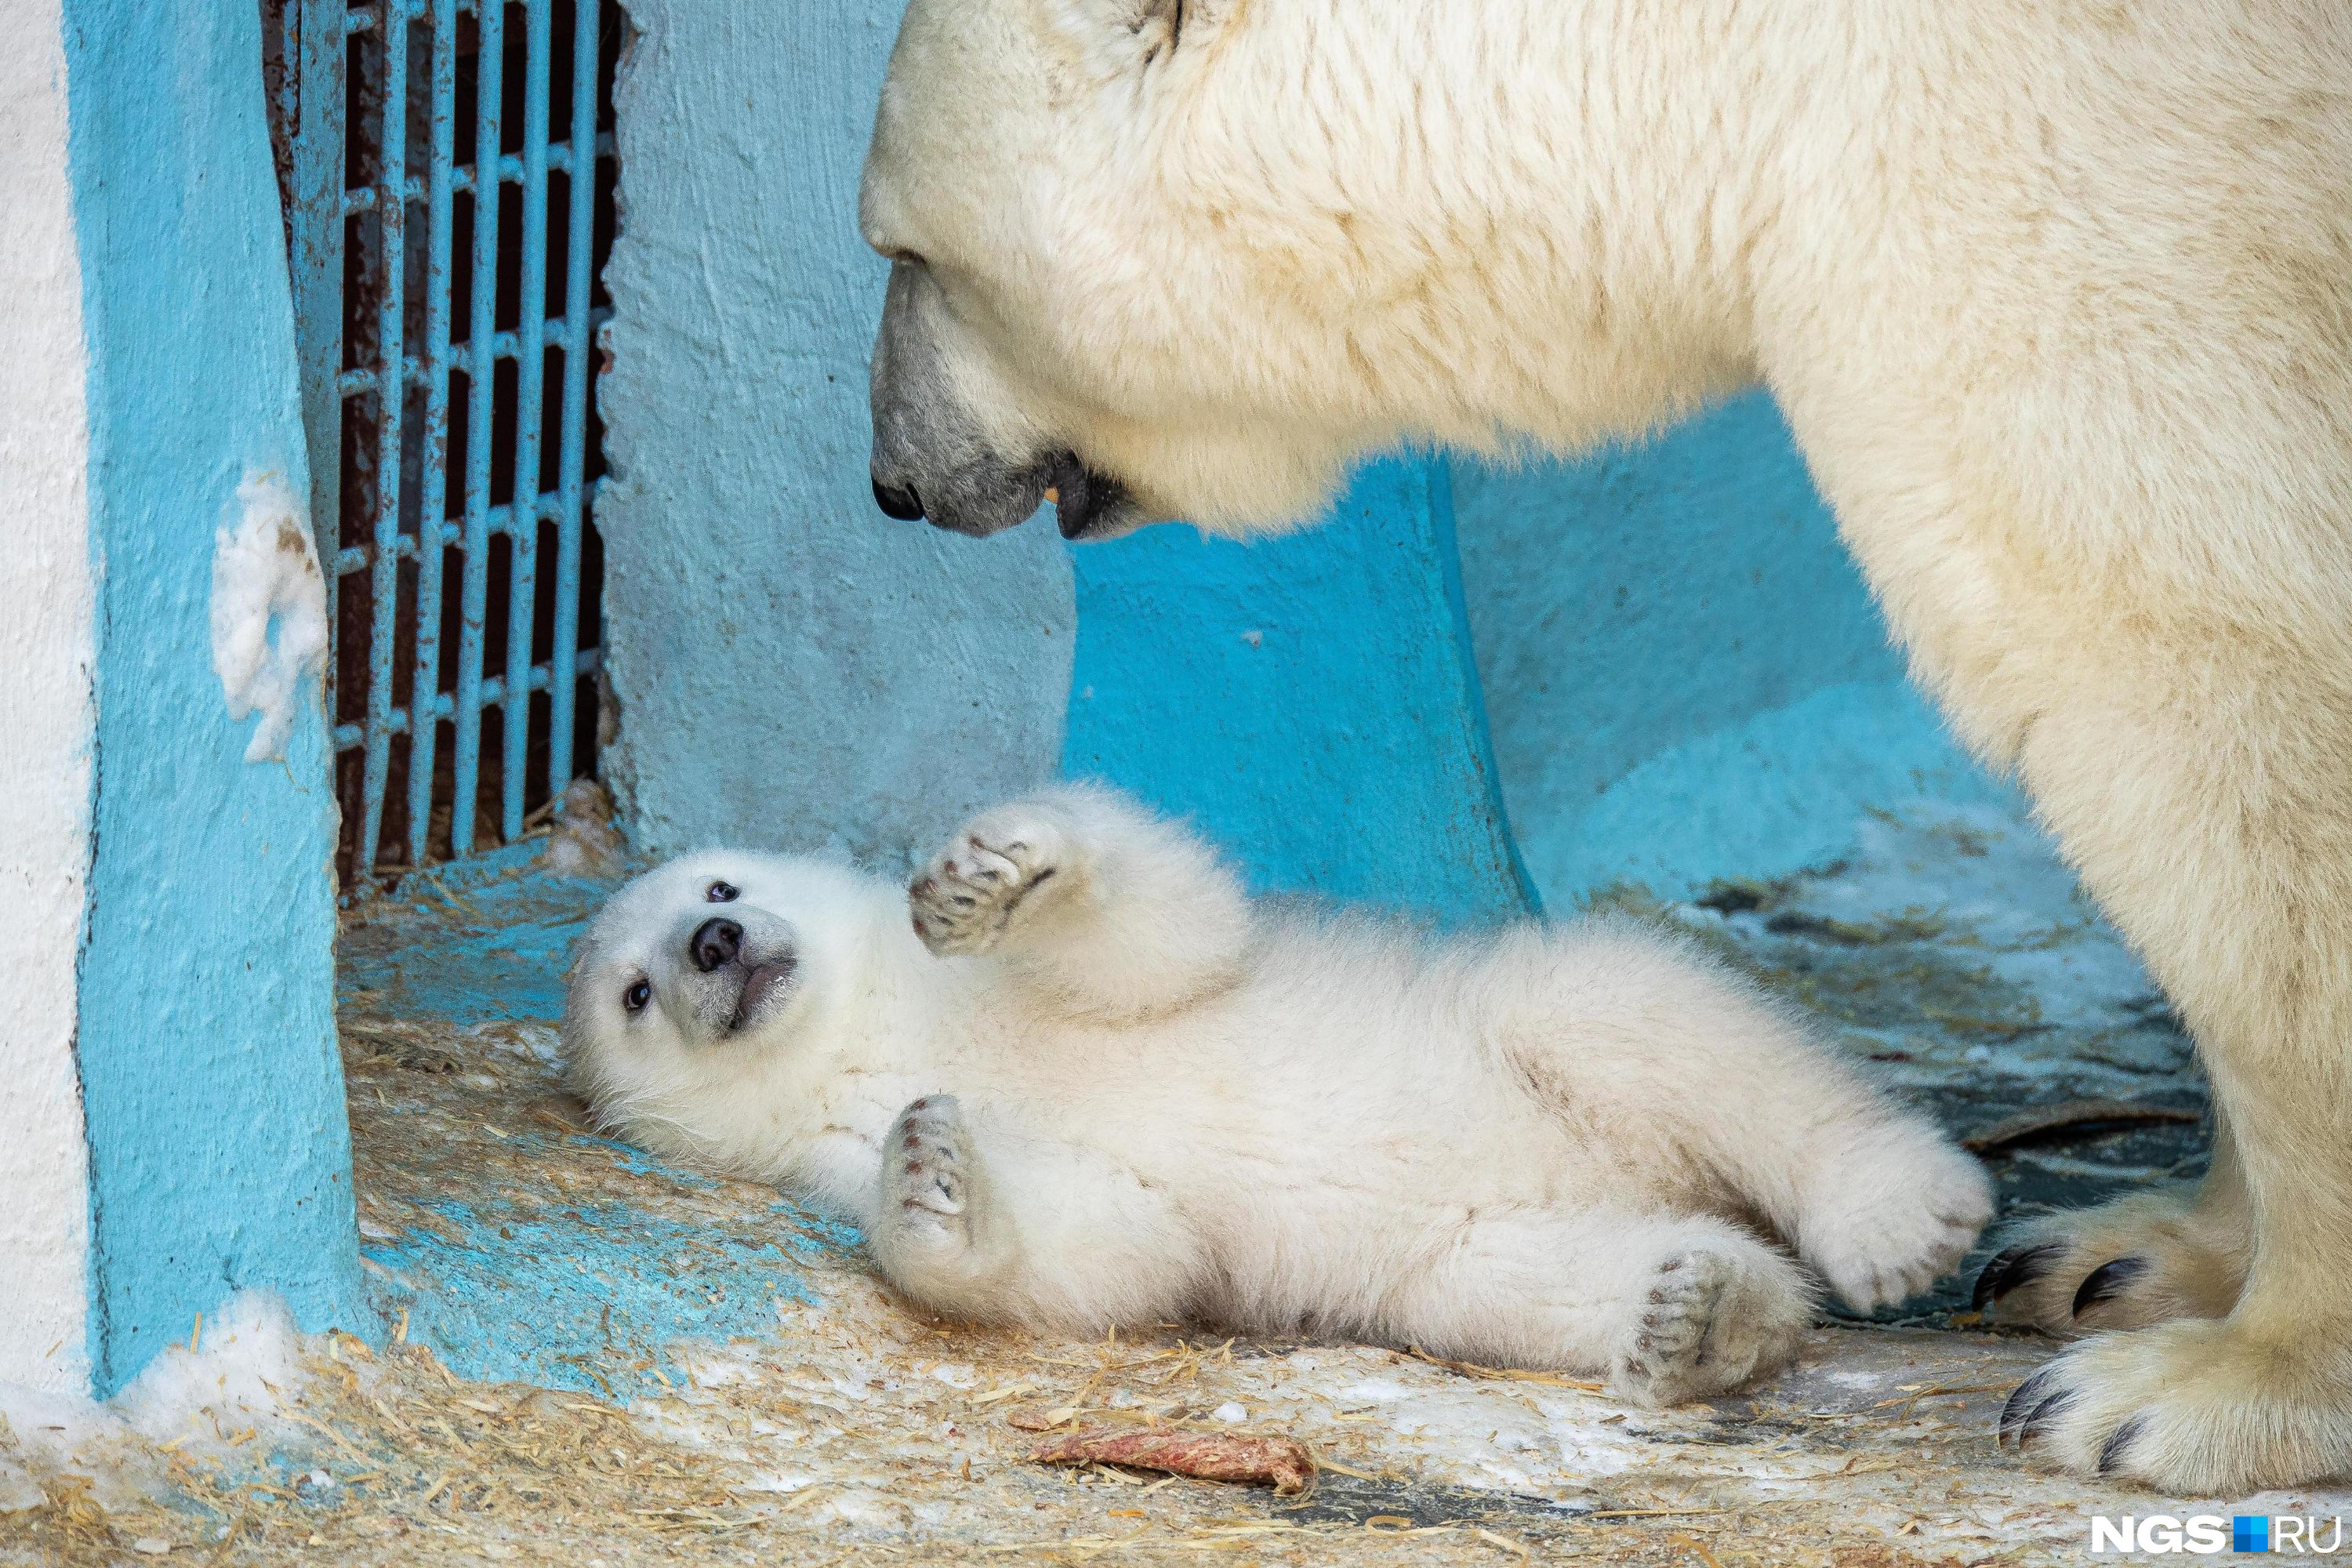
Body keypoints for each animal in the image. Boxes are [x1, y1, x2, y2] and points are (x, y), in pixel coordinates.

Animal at [856, 2, 2352, 1495]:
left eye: (903, 249)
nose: (895, 484)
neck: (1703, 62)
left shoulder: (2062, 191)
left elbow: (2197, 673)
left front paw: (2202, 1388)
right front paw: (2130, 1257)